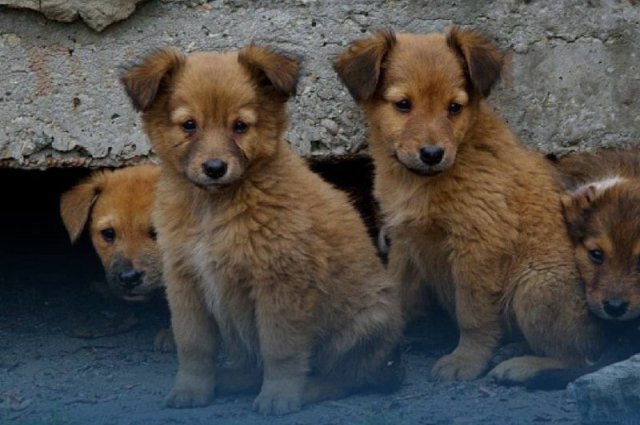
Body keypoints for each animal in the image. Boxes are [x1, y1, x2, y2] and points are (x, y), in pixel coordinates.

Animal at [120, 44, 402, 412]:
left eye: (240, 126)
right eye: (189, 125)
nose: (214, 168)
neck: (214, 206)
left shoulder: (279, 283)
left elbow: (280, 349)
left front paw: (278, 395)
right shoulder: (185, 281)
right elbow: (194, 346)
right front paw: (191, 389)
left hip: (366, 322)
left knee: (351, 375)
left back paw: (309, 389)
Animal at [336, 27, 604, 384]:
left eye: (454, 107)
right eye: (403, 105)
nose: (432, 154)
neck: (423, 182)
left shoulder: (479, 245)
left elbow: (473, 314)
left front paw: (466, 360)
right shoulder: (405, 243)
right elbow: (397, 293)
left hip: (535, 286)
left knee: (579, 357)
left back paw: (522, 366)